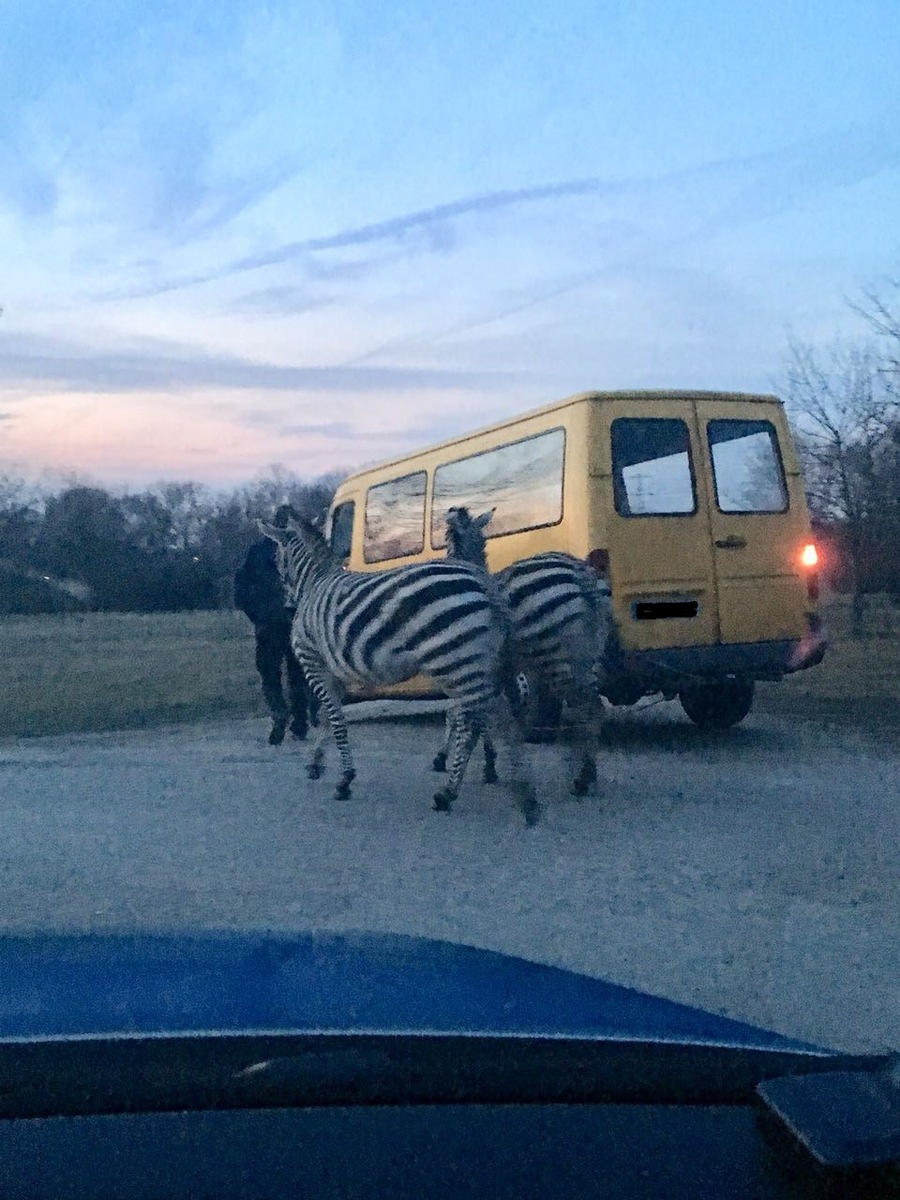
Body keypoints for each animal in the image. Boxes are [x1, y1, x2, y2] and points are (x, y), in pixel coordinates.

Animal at [256, 511, 540, 820]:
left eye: (276, 558)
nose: (286, 606)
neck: (316, 582)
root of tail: (483, 579)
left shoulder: (314, 663)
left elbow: (335, 720)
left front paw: (345, 779)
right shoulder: (335, 673)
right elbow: (328, 718)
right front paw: (317, 764)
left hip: (456, 659)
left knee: (484, 719)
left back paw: (484, 794)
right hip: (475, 660)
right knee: (492, 716)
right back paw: (495, 790)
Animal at [434, 506, 619, 796]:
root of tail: (582, 575)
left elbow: (458, 714)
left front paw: (473, 763)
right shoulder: (499, 671)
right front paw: (489, 763)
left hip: (559, 656)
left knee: (586, 707)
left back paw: (580, 777)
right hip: (587, 655)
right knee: (593, 708)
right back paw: (587, 773)